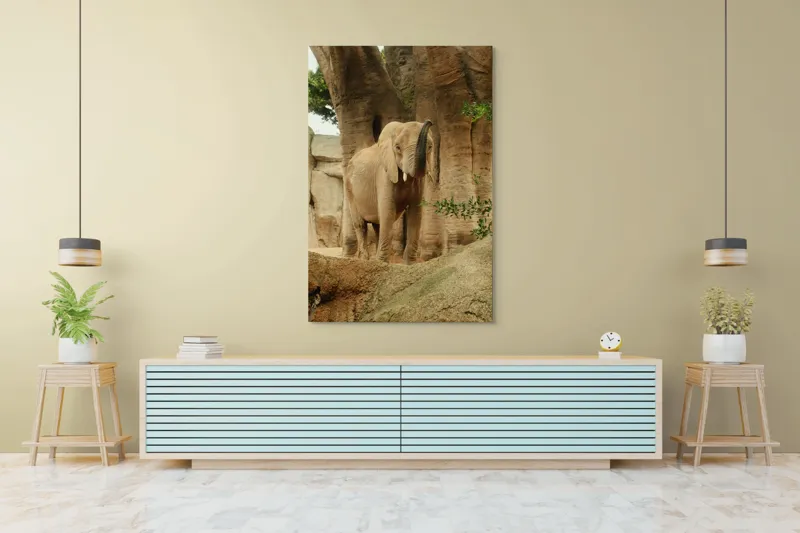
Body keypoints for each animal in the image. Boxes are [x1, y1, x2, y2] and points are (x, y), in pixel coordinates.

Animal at [344, 120, 434, 264]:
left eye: (430, 147)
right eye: (397, 147)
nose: (429, 122)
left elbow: (416, 212)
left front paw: (410, 264)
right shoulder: (383, 173)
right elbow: (388, 210)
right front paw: (381, 263)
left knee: (378, 225)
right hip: (349, 189)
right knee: (360, 225)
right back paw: (365, 260)